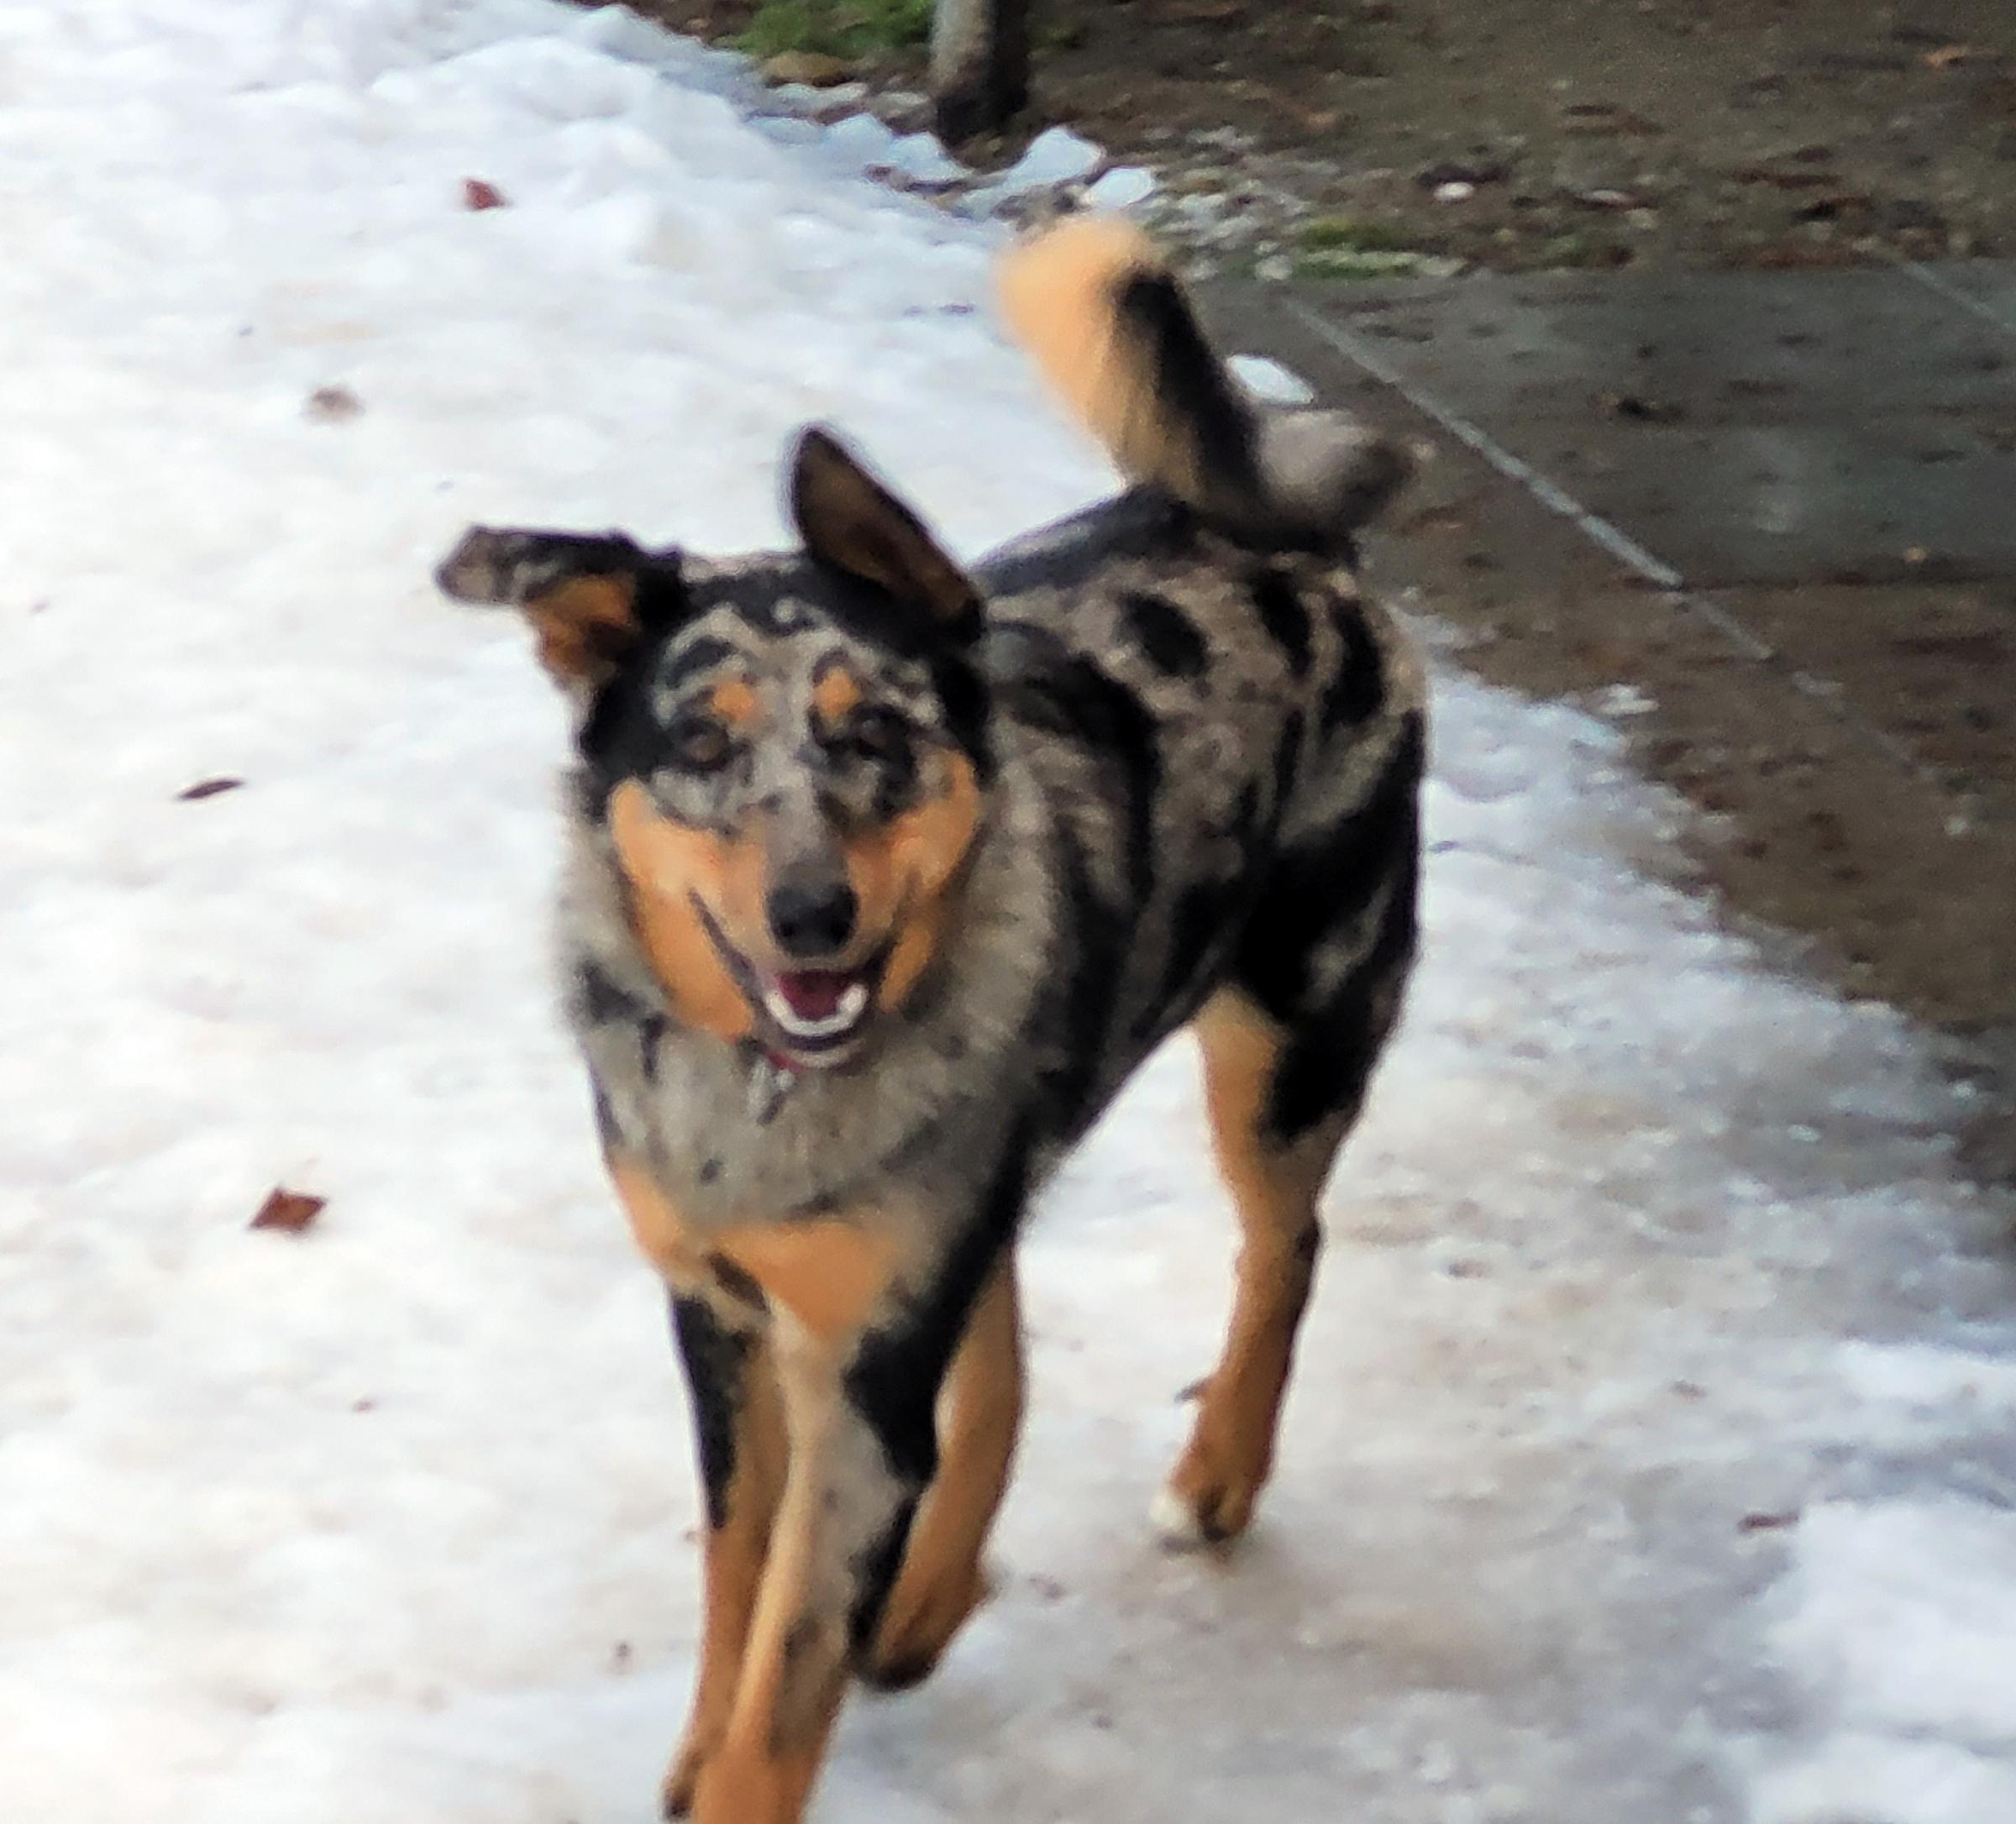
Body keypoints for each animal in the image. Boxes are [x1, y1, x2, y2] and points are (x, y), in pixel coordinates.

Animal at [435, 216, 1425, 1824]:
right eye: (698, 742)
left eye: (875, 734)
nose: (811, 916)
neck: (771, 1100)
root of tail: (1268, 528)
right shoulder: (731, 1321)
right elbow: (740, 1580)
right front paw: (712, 1732)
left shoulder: (863, 1362)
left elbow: (788, 1673)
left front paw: (748, 1756)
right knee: (1008, 1349)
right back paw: (931, 1599)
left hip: (1292, 1029)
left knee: (1284, 1245)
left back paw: (1215, 1476)